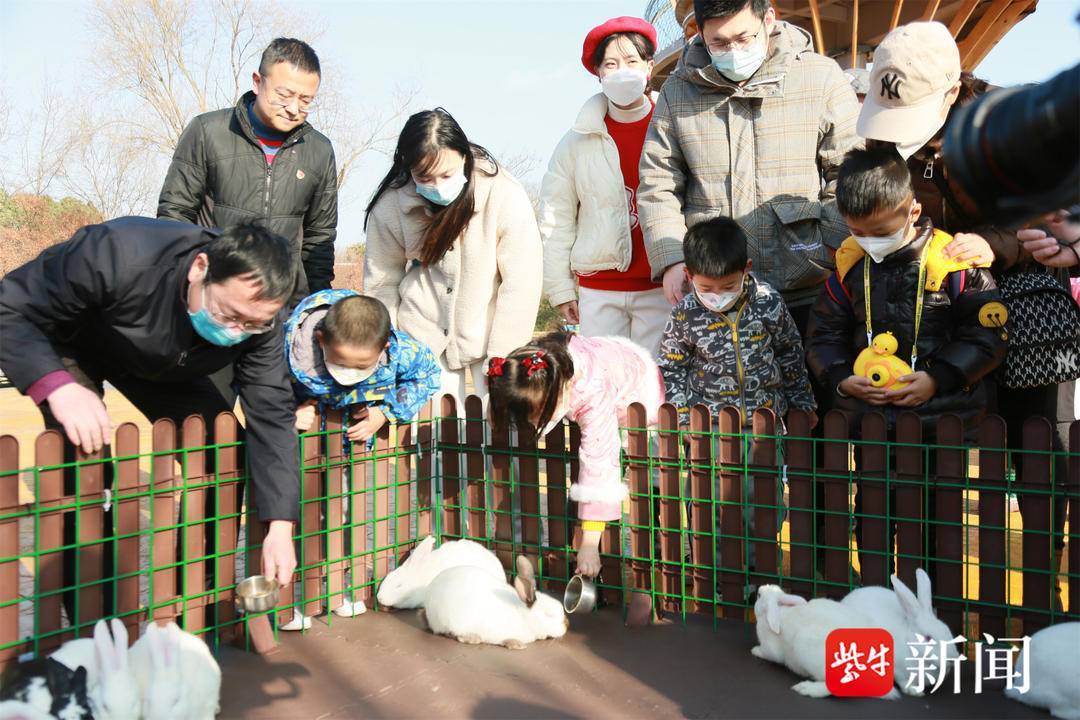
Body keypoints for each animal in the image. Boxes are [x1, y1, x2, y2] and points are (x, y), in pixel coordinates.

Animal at [419, 557, 570, 651]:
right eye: (549, 614)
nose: (567, 625)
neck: (523, 616)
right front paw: (516, 644)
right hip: (446, 619)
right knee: (447, 633)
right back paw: (472, 638)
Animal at [751, 587, 902, 699]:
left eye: (758, 595)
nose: (760, 588)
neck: (778, 611)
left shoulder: (770, 649)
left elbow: (768, 654)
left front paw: (755, 650)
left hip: (806, 647)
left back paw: (806, 688)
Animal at [842, 569, 963, 699]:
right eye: (928, 638)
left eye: (947, 630)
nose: (953, 658)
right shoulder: (899, 671)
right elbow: (904, 683)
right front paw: (915, 692)